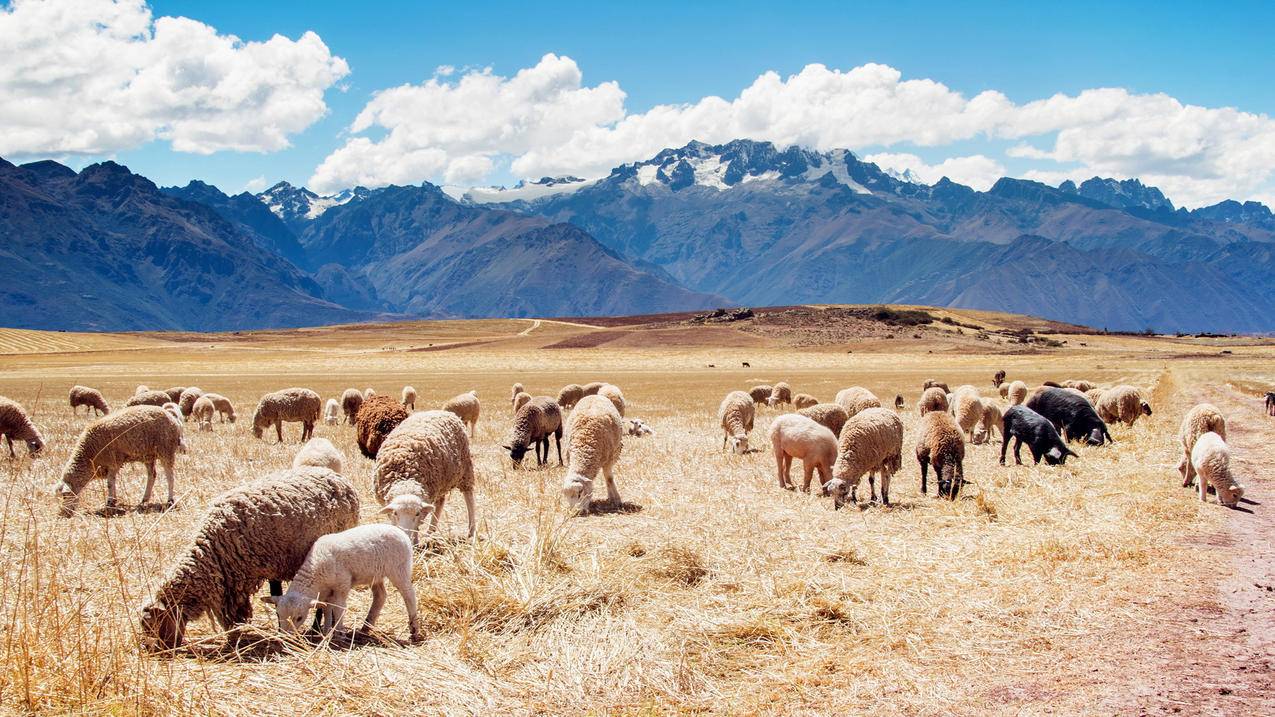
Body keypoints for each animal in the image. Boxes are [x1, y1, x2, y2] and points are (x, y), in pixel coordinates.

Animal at [55, 403, 184, 512]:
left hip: (166, 449)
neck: (88, 454)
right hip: (148, 455)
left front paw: (110, 503)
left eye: (65, 496)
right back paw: (144, 500)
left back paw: (170, 501)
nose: (64, 512)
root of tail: (173, 418)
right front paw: (113, 501)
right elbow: (112, 481)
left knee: (170, 476)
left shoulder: (113, 461)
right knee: (152, 475)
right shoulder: (110, 464)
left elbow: (109, 483)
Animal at [263, 517, 423, 643]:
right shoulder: (326, 592)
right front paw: (326, 631)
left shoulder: (342, 585)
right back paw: (365, 627)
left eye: (299, 618)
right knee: (380, 596)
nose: (286, 638)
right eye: (278, 614)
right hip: (375, 574)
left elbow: (339, 608)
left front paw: (339, 633)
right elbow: (327, 609)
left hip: (399, 568)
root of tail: (401, 532)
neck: (315, 569)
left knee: (409, 594)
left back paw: (414, 629)